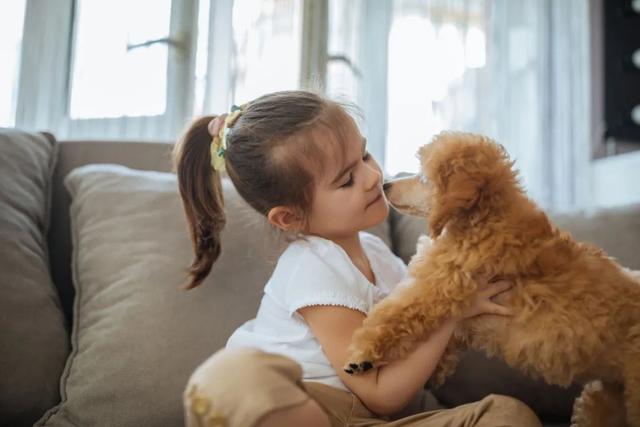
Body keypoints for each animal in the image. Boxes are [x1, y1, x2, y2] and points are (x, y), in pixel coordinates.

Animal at [344, 132, 640, 426]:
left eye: (424, 178)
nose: (385, 185)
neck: (481, 218)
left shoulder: (440, 288)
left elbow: (397, 313)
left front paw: (362, 353)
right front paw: (435, 370)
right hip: (602, 399)